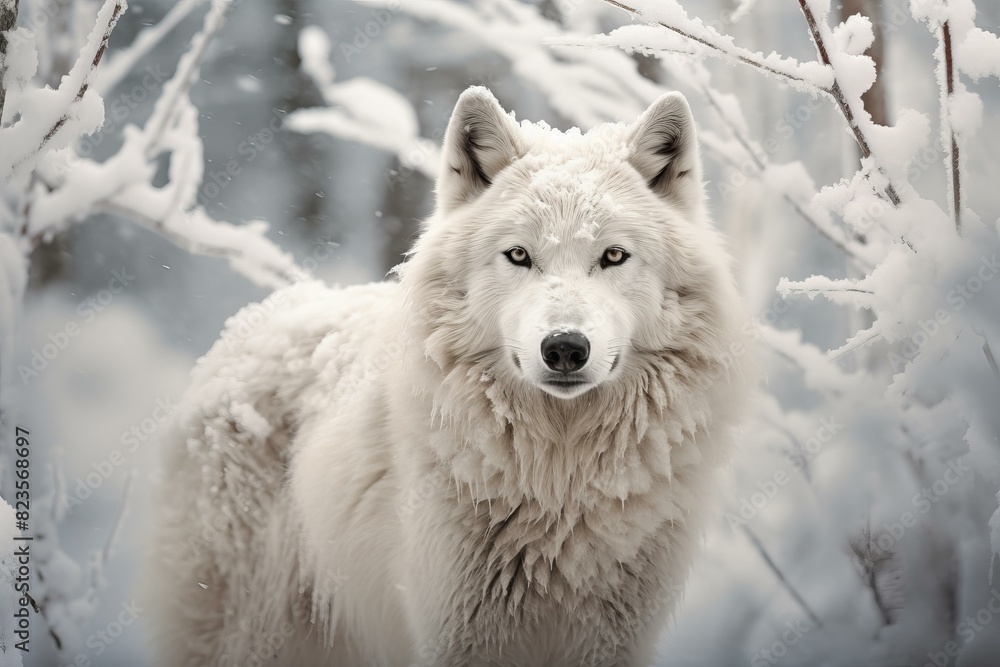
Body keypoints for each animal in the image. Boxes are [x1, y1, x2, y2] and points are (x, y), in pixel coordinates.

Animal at [146, 87, 752, 667]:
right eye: (518, 255)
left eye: (614, 256)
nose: (564, 348)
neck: (559, 484)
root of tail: (252, 323)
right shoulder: (460, 632)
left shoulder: (613, 638)